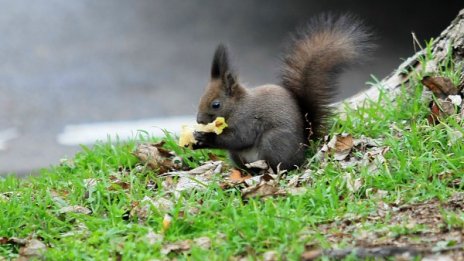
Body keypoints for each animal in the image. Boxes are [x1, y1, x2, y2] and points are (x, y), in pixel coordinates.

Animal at [193, 14, 374, 173]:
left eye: (216, 104)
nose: (199, 120)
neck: (237, 106)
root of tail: (304, 148)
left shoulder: (248, 120)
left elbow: (239, 138)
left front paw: (205, 138)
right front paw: (196, 141)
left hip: (273, 141)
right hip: (239, 155)